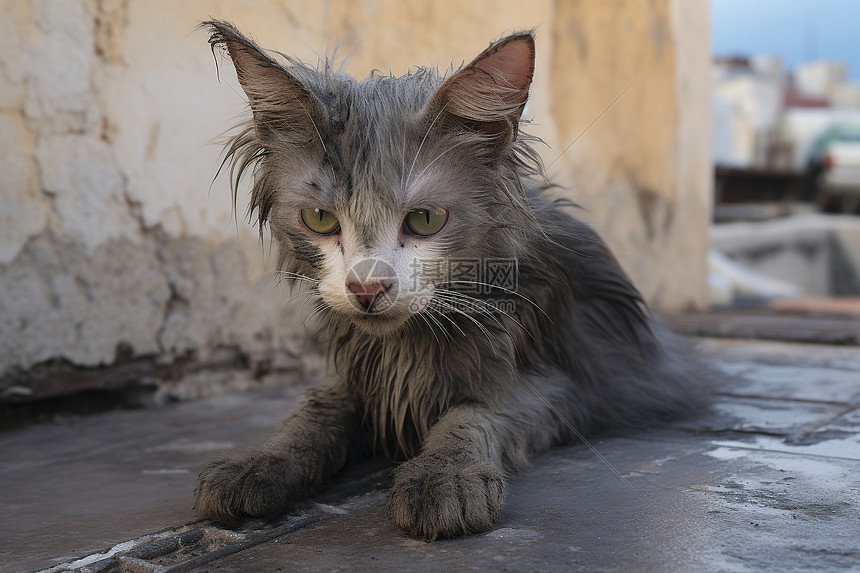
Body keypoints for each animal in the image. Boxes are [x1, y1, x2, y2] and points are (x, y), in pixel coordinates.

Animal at [195, 21, 712, 540]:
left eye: (425, 220)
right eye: (320, 219)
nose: (366, 288)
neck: (406, 347)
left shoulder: (561, 385)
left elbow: (472, 415)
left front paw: (445, 475)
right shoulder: (361, 376)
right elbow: (311, 413)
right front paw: (258, 462)